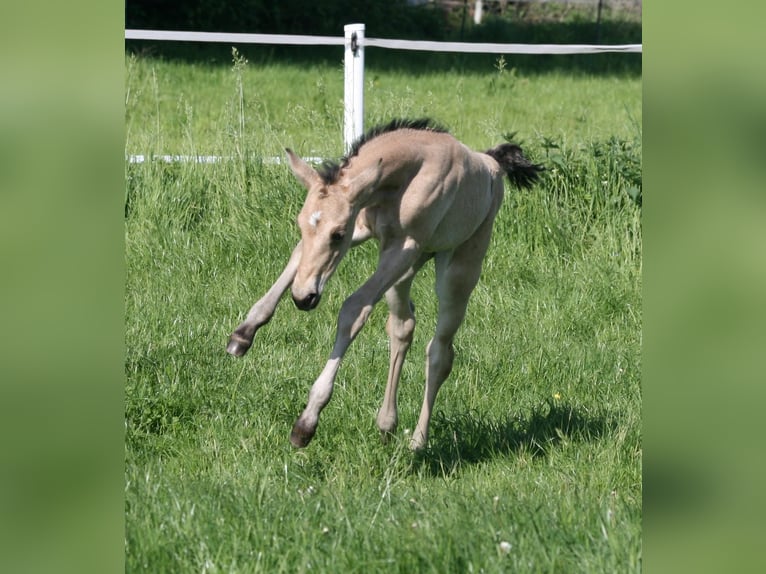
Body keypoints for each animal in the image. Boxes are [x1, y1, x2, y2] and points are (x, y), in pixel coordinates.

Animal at [227, 118, 543, 450]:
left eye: (337, 234)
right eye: (300, 223)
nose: (304, 298)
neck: (406, 178)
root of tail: (492, 162)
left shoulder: (401, 247)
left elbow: (354, 309)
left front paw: (307, 421)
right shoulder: (363, 227)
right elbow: (298, 258)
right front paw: (242, 336)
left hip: (457, 268)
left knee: (440, 352)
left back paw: (418, 440)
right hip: (405, 275)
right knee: (403, 327)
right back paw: (386, 423)